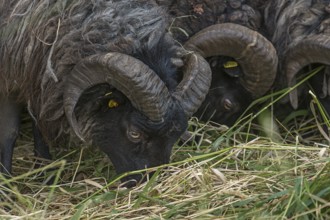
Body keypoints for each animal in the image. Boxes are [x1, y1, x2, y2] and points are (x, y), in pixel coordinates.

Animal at [0, 0, 211, 187]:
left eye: (176, 134)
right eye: (134, 133)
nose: (146, 186)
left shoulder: (35, 74)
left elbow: (39, 123)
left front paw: (47, 175)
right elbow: (9, 131)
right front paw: (7, 182)